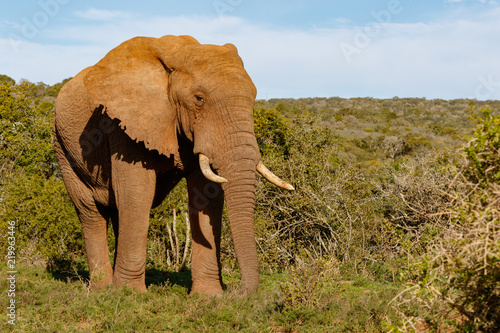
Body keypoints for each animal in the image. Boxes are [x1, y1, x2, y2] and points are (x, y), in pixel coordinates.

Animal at [51, 33, 292, 294]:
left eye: (254, 98)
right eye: (199, 99)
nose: (236, 292)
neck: (178, 56)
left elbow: (206, 195)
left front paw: (209, 296)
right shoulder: (124, 125)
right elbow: (137, 193)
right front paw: (129, 295)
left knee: (115, 211)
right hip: (61, 145)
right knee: (90, 211)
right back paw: (102, 288)